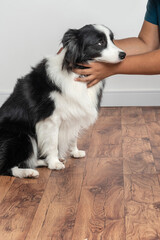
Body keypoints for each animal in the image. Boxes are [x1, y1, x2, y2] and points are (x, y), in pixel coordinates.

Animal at [0, 24, 125, 178]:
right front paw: (54, 163)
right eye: (100, 43)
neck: (77, 69)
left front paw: (74, 152)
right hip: (21, 135)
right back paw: (29, 172)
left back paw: (42, 162)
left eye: (112, 40)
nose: (123, 54)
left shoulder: (75, 110)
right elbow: (53, 142)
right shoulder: (50, 119)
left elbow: (73, 135)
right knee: (6, 167)